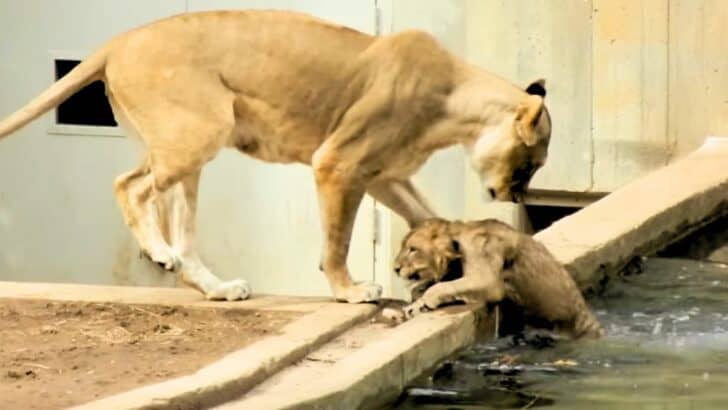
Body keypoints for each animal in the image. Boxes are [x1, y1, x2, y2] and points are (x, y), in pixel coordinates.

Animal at [0, 10, 552, 303]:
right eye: (530, 163)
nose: (514, 195)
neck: (456, 105)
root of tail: (116, 41)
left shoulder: (381, 174)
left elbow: (427, 215)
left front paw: (446, 258)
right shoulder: (339, 162)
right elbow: (337, 240)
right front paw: (350, 290)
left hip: (185, 151)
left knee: (181, 232)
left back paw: (217, 287)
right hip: (198, 132)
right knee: (127, 185)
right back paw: (158, 251)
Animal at [390, 218, 604, 339]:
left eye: (412, 249)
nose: (395, 269)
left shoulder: (488, 279)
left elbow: (441, 286)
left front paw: (423, 302)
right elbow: (427, 285)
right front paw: (414, 301)